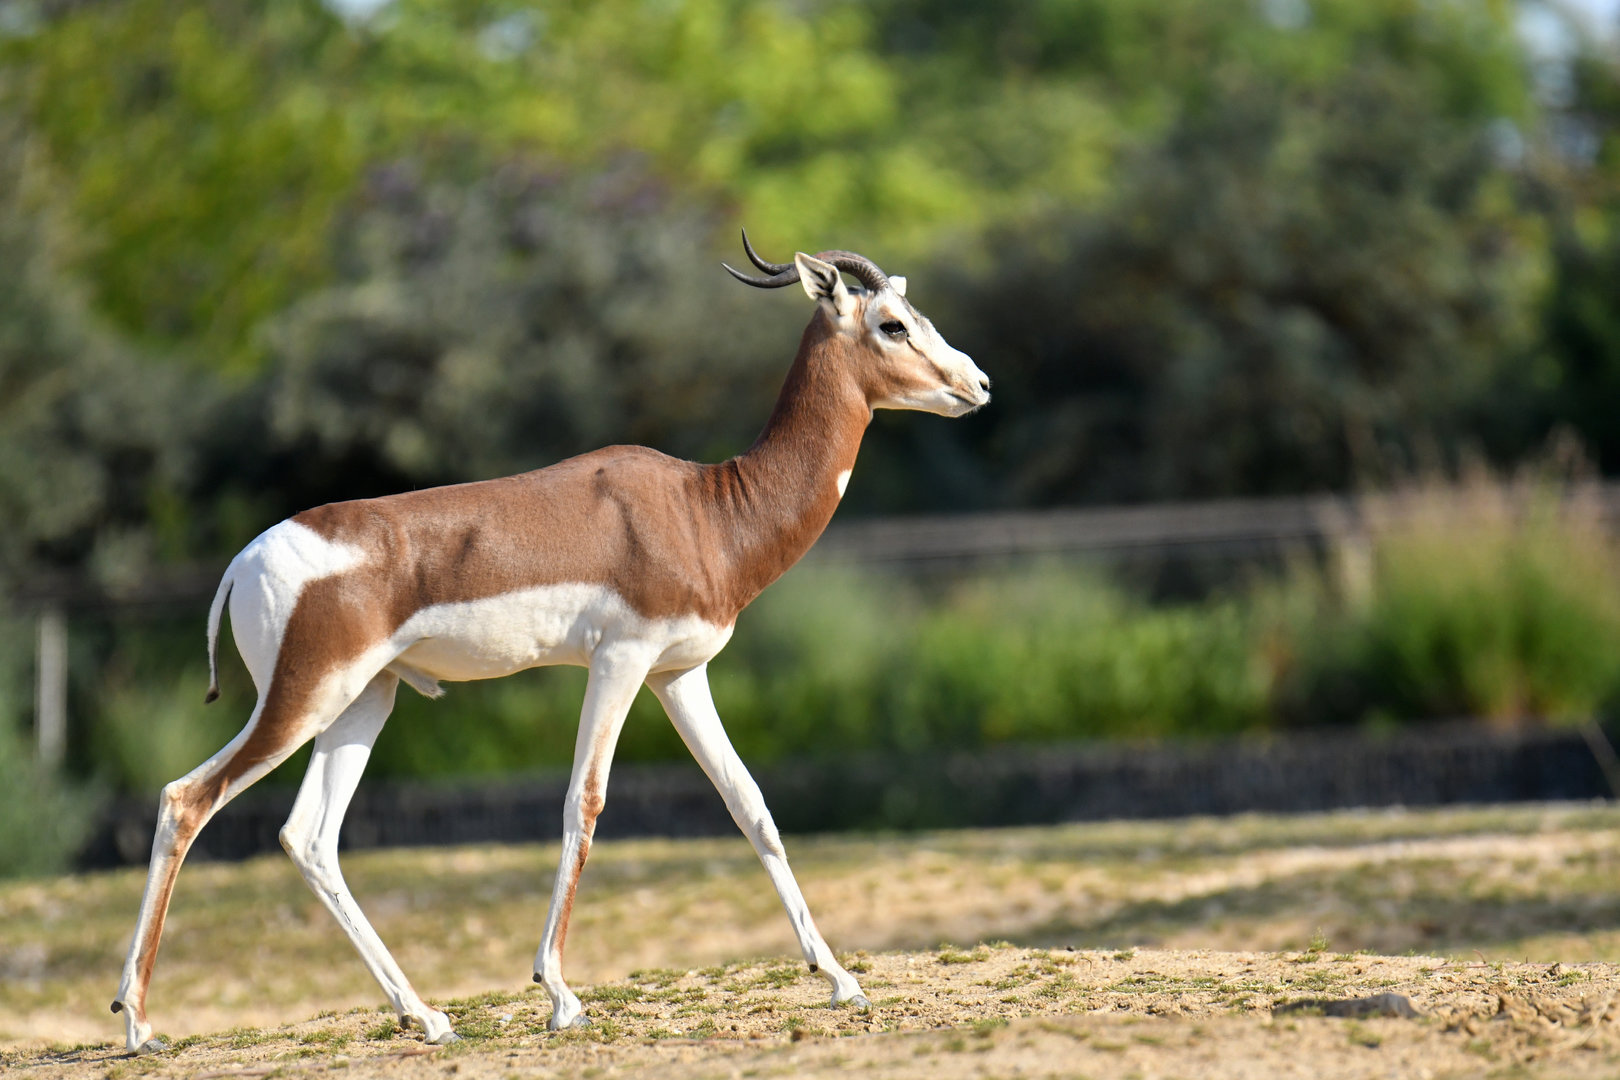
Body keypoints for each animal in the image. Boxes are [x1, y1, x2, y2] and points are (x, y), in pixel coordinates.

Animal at [110, 233, 991, 1053]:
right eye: (892, 322)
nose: (977, 384)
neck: (707, 511)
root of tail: (244, 559)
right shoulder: (620, 660)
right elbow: (584, 802)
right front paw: (561, 995)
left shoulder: (681, 674)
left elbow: (750, 805)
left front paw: (840, 978)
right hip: (301, 699)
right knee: (187, 799)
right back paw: (138, 1023)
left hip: (365, 701)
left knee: (309, 838)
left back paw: (425, 1016)